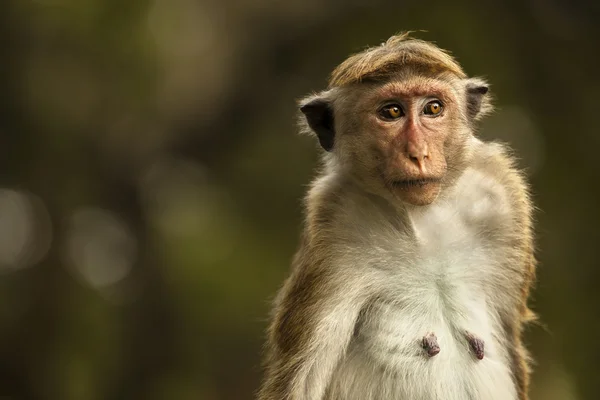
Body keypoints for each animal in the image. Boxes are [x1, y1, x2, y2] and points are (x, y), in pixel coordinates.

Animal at [256, 33, 536, 400]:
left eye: (434, 108)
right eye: (391, 112)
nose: (418, 154)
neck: (422, 216)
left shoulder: (502, 194)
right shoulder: (335, 222)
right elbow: (301, 382)